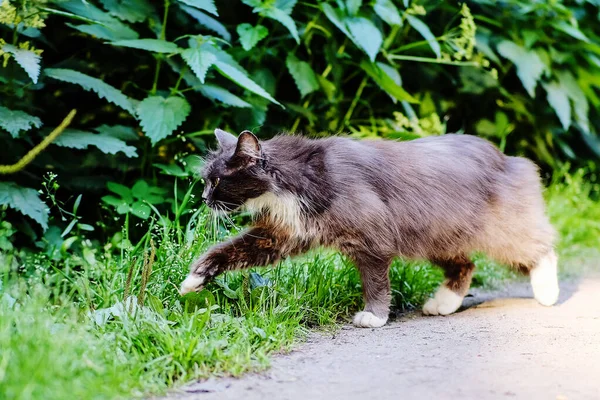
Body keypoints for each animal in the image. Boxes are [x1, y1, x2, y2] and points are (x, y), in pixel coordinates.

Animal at [180, 129, 560, 328]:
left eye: (217, 182)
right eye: (206, 181)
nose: (203, 198)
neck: (294, 181)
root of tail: (506, 156)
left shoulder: (372, 240)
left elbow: (375, 283)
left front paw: (374, 317)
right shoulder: (278, 236)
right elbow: (227, 251)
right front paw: (194, 279)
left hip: (497, 231)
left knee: (541, 247)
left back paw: (547, 293)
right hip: (437, 238)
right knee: (466, 265)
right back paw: (443, 303)